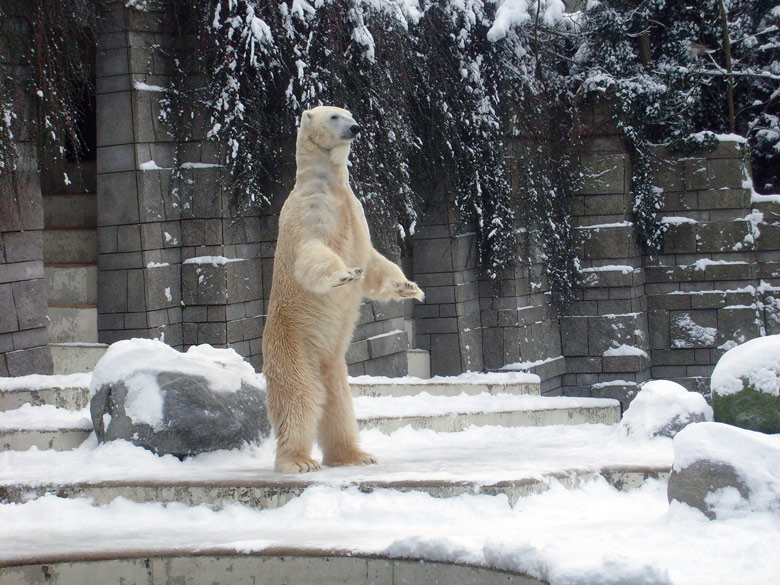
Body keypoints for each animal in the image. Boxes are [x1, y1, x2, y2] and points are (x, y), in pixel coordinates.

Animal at [262, 105, 424, 472]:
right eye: (335, 116)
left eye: (348, 113)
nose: (356, 127)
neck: (328, 184)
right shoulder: (309, 214)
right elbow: (312, 253)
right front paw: (345, 275)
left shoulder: (354, 213)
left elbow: (375, 262)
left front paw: (409, 287)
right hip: (292, 347)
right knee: (300, 398)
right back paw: (298, 461)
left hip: (334, 364)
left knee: (338, 405)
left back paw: (356, 455)